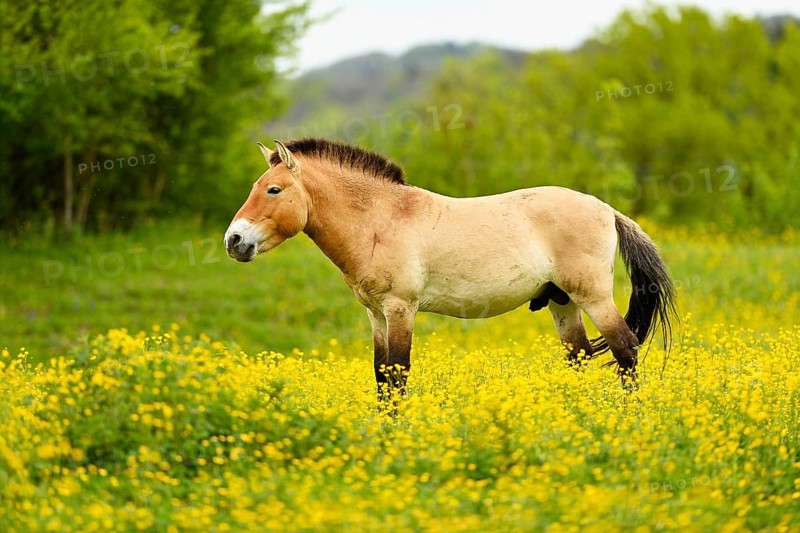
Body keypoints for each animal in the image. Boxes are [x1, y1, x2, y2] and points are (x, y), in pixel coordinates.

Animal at [224, 138, 676, 396]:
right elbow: (381, 375)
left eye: (273, 189)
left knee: (625, 350)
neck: (380, 219)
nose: (234, 241)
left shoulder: (400, 309)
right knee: (580, 357)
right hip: (561, 302)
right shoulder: (375, 314)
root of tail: (607, 210)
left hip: (593, 297)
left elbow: (399, 373)